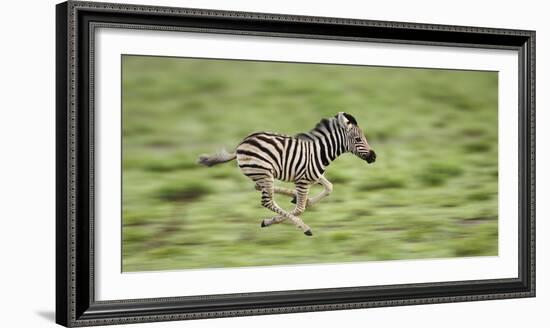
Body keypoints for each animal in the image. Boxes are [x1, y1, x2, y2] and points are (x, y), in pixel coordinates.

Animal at [199, 113, 380, 236]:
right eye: (358, 139)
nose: (374, 157)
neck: (320, 153)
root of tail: (240, 145)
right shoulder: (303, 181)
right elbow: (299, 209)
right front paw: (292, 221)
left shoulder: (313, 176)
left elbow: (329, 187)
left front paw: (304, 199)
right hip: (264, 173)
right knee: (267, 201)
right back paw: (299, 225)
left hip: (262, 174)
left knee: (258, 187)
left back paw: (292, 196)